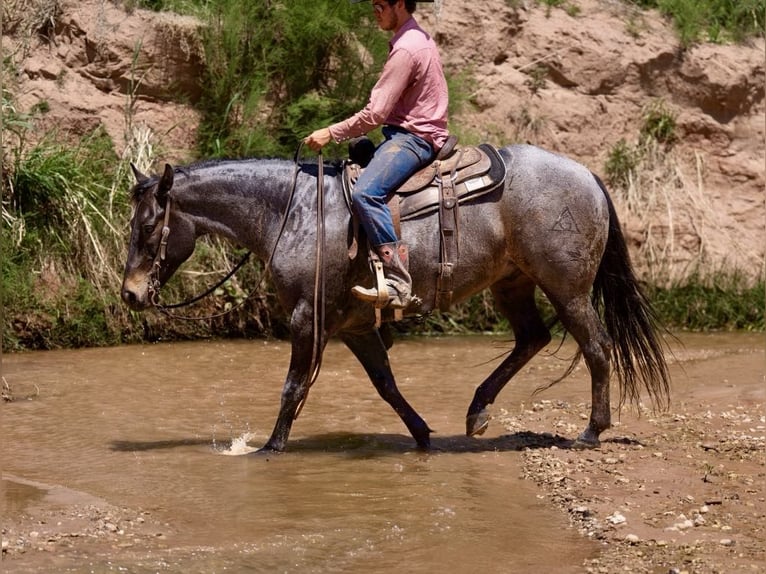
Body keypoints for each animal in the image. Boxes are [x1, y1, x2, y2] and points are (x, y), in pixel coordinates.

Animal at [121, 143, 672, 454]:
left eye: (147, 226)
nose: (129, 294)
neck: (291, 213)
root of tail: (589, 176)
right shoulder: (353, 328)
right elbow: (385, 384)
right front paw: (423, 435)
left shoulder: (306, 320)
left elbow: (293, 388)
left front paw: (271, 449)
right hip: (512, 284)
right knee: (531, 339)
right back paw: (477, 412)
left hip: (566, 288)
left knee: (596, 348)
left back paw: (591, 431)